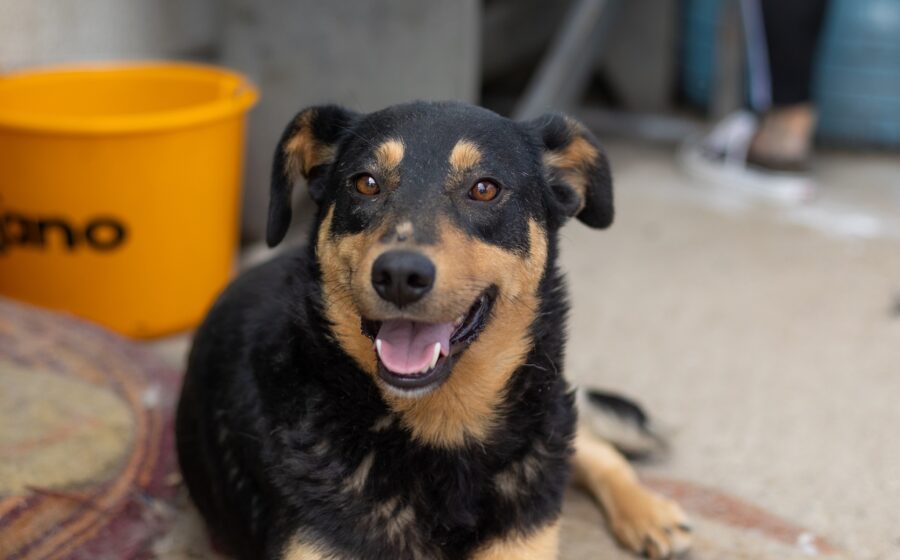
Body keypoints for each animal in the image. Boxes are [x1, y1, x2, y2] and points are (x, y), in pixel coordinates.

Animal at [175, 101, 691, 559]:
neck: (442, 425)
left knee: (595, 446)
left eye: (484, 189)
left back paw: (649, 513)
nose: (400, 275)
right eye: (365, 183)